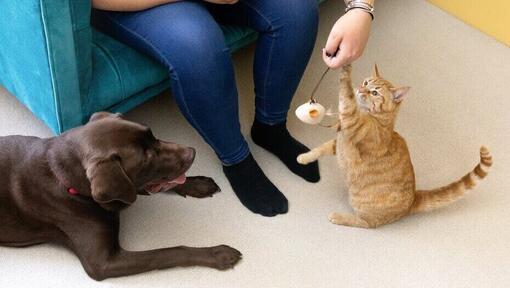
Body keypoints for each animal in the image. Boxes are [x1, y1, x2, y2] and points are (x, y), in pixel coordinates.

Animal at [296, 64, 492, 228]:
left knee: (367, 224)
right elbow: (320, 149)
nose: (361, 89)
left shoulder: (352, 121)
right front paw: (304, 158)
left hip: (362, 206)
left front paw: (346, 66)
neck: (377, 119)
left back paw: (339, 217)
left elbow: (346, 94)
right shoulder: (338, 143)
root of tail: (413, 199)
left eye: (374, 93)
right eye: (366, 82)